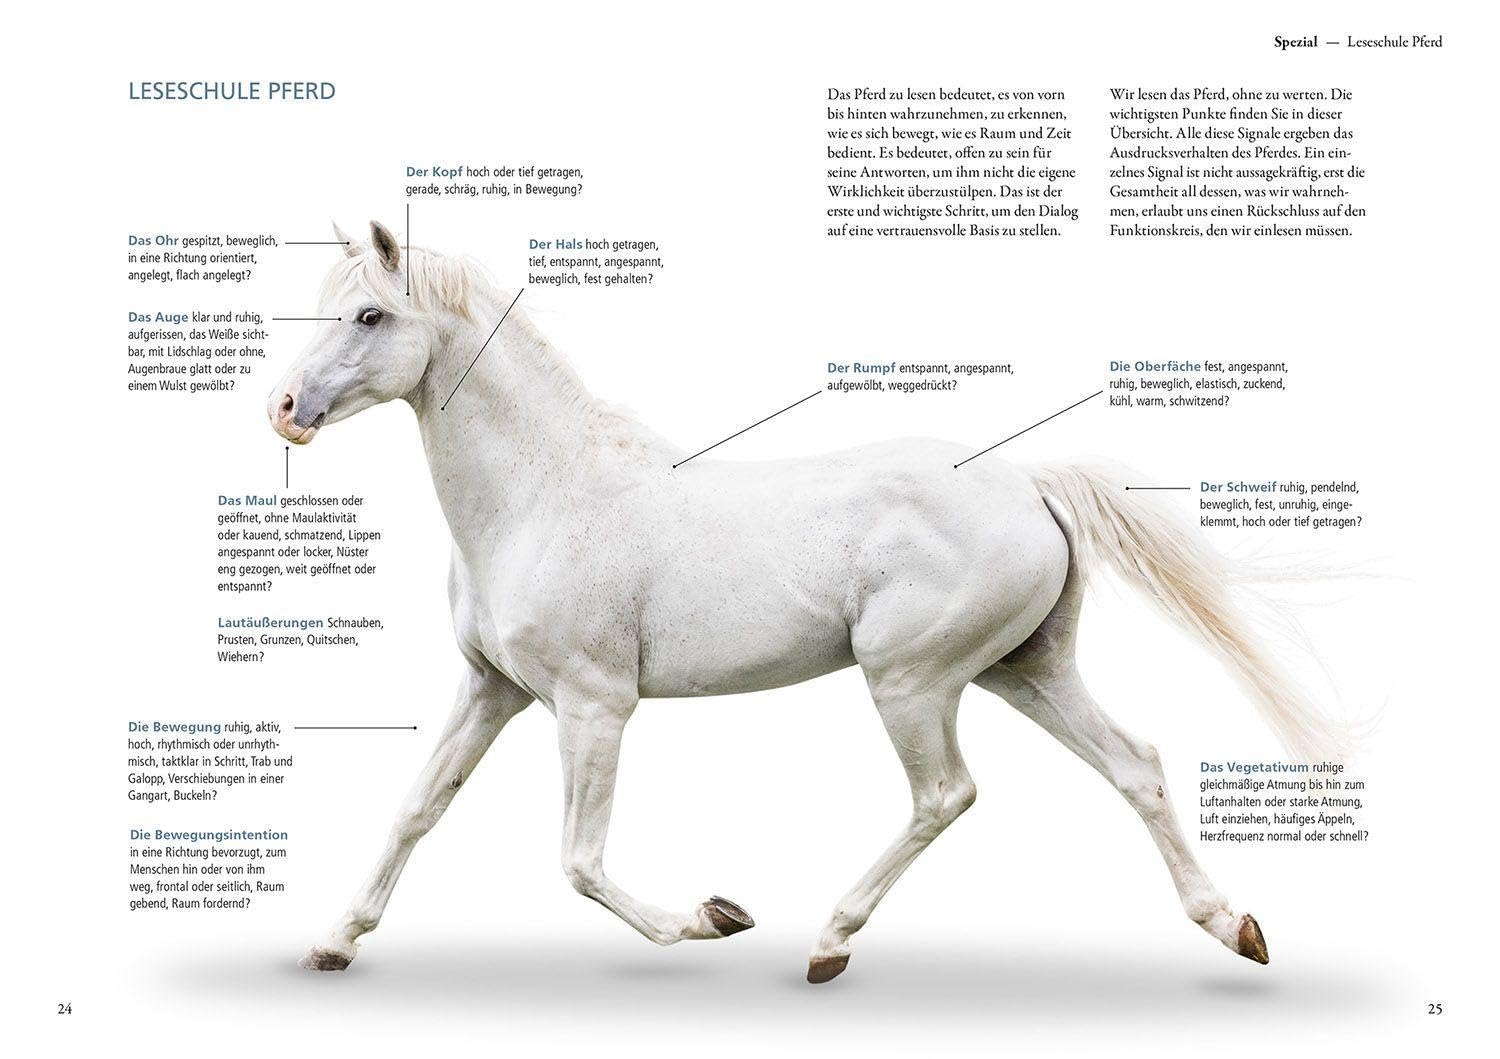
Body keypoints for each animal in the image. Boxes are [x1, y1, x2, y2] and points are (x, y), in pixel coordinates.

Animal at [269, 221, 1348, 983]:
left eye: (368, 316)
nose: (285, 412)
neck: (544, 492)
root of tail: (1029, 481)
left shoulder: (593, 704)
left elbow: (579, 859)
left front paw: (712, 917)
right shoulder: (492, 688)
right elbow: (417, 808)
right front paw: (334, 943)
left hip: (911, 679)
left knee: (947, 793)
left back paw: (828, 940)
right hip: (1023, 670)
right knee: (1137, 766)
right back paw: (1235, 927)